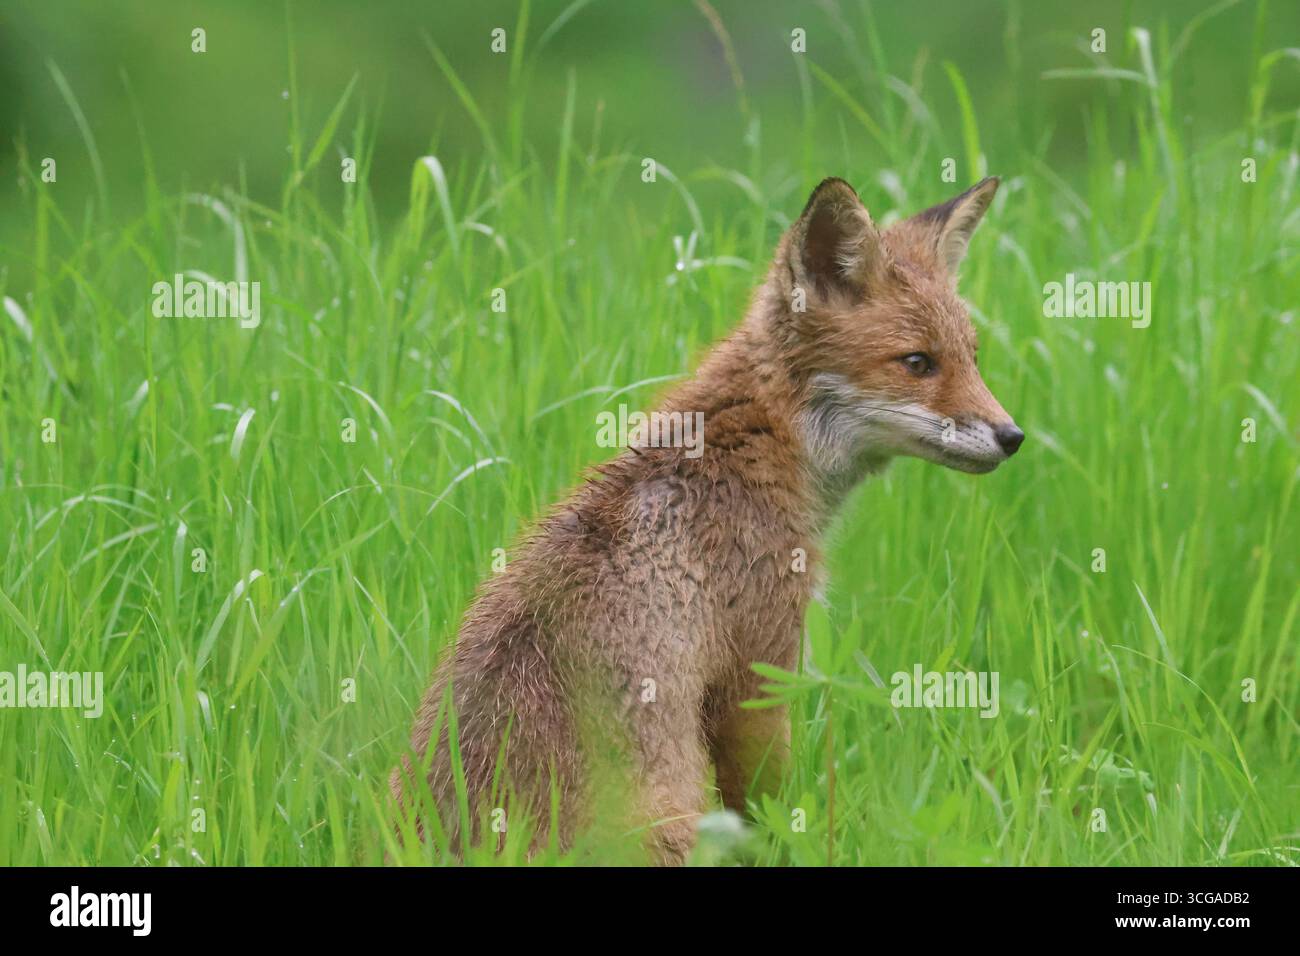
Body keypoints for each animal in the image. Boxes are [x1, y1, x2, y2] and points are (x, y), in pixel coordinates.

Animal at [391, 175, 1024, 864]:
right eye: (917, 363)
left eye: (972, 357)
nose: (1012, 436)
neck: (750, 449)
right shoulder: (757, 675)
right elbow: (765, 814)